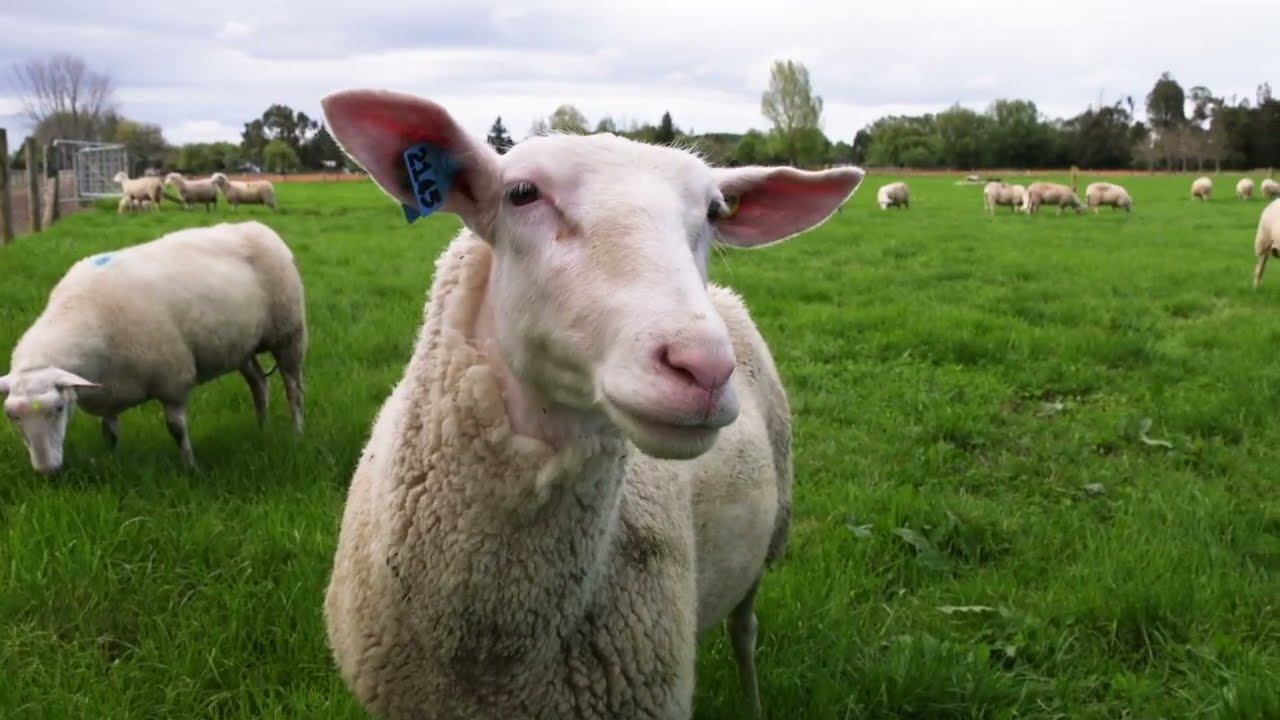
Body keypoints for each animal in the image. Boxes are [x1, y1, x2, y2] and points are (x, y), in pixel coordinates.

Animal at [0, 220, 307, 474]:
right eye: (12, 417)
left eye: (58, 409)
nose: (47, 470)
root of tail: (258, 226)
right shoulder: (109, 393)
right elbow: (109, 433)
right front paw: (113, 461)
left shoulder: (172, 380)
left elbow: (177, 430)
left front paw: (190, 468)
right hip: (240, 346)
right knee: (258, 382)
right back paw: (262, 427)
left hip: (289, 333)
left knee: (293, 389)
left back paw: (297, 433)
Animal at [318, 88, 864, 720]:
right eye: (521, 193)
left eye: (714, 212)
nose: (703, 366)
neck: (493, 653)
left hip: (770, 534)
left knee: (744, 630)